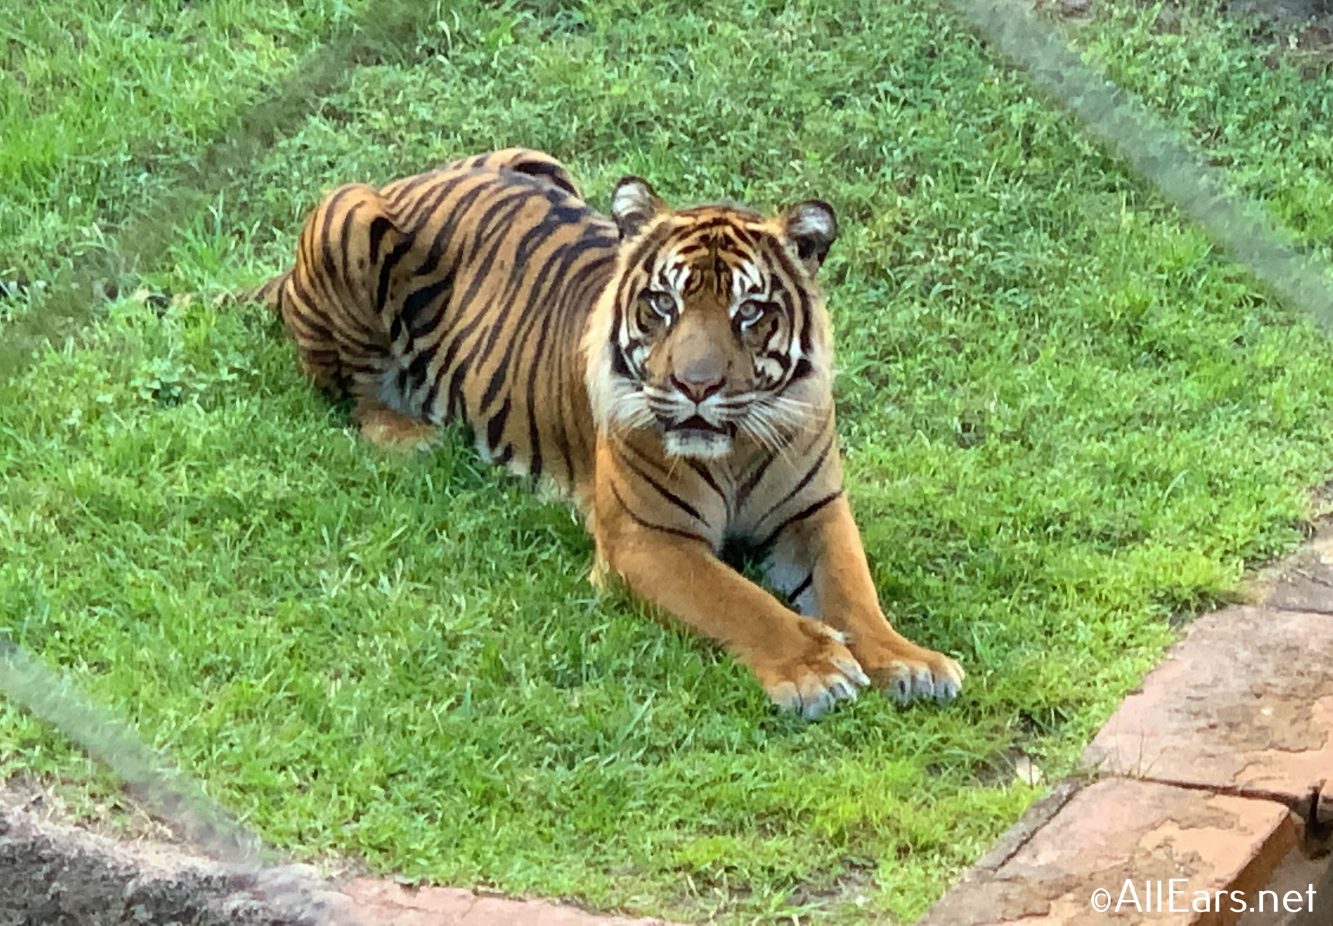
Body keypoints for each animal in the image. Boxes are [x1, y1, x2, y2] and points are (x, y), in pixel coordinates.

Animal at [257, 148, 970, 719]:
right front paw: (815, 668)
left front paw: (909, 660)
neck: (735, 450)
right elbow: (740, 601)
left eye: (749, 311)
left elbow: (854, 591)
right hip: (347, 215)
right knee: (350, 387)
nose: (695, 386)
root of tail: (412, 176)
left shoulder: (814, 512)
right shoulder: (646, 539)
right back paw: (407, 434)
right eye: (663, 303)